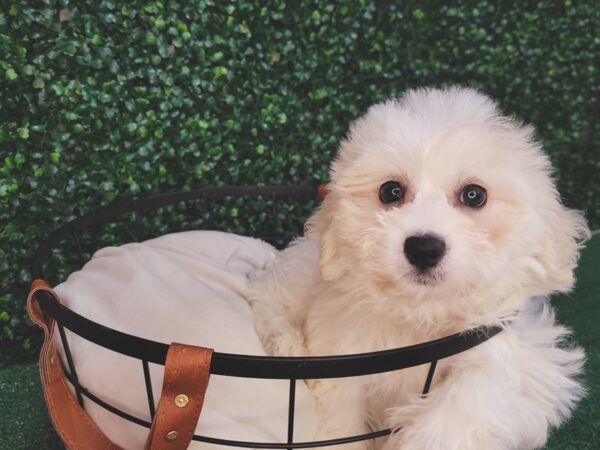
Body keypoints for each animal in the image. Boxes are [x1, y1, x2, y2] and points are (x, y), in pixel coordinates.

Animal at [248, 87, 592, 450]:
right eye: (390, 191)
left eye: (474, 195)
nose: (423, 248)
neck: (421, 315)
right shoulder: (344, 360)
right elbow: (342, 418)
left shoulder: (509, 351)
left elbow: (470, 399)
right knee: (267, 298)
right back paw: (288, 344)